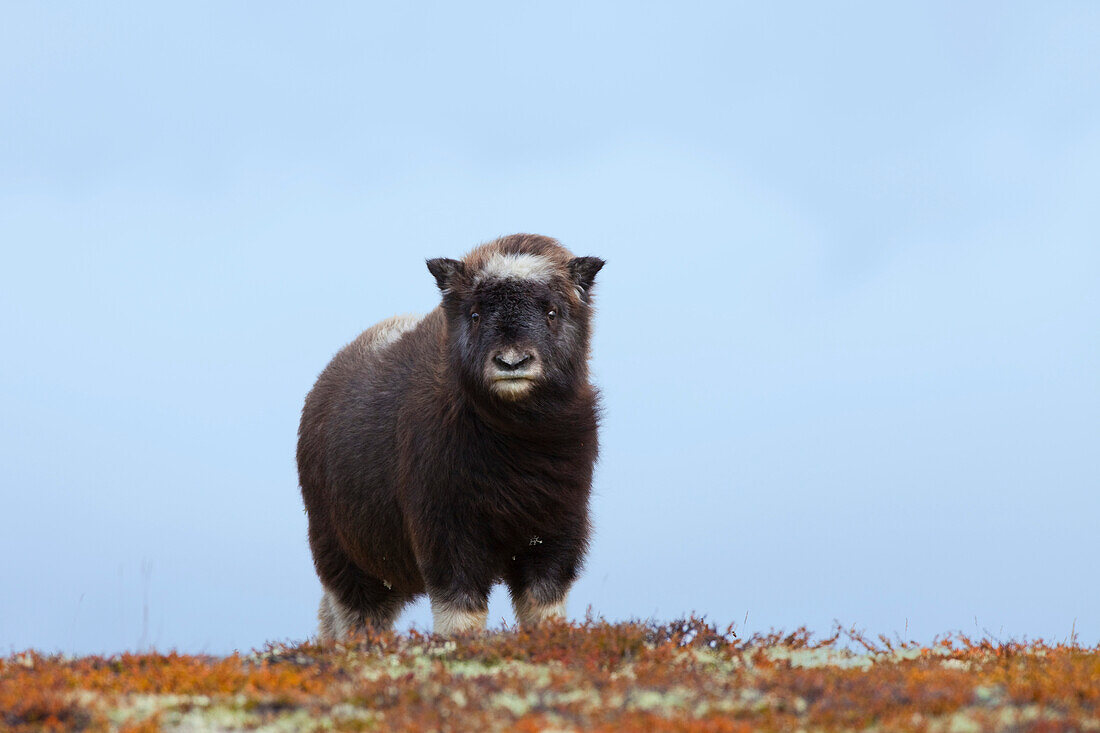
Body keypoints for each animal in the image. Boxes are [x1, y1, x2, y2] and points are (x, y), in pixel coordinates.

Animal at [299, 232, 602, 633]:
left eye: (551, 312)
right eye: (475, 314)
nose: (512, 363)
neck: (517, 437)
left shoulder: (554, 533)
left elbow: (543, 605)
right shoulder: (448, 535)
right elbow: (461, 611)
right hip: (346, 555)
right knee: (356, 613)